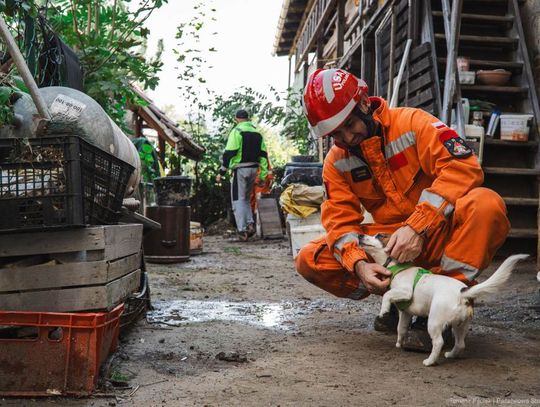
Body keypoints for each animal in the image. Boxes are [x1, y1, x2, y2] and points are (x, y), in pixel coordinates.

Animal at [358, 234, 528, 368]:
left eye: (380, 236)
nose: (359, 235)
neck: (398, 268)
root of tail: (462, 294)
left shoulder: (406, 292)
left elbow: (387, 295)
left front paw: (384, 310)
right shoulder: (405, 313)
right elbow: (401, 328)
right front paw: (399, 343)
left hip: (434, 322)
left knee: (438, 342)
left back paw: (430, 361)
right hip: (460, 325)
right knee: (460, 344)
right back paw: (451, 355)